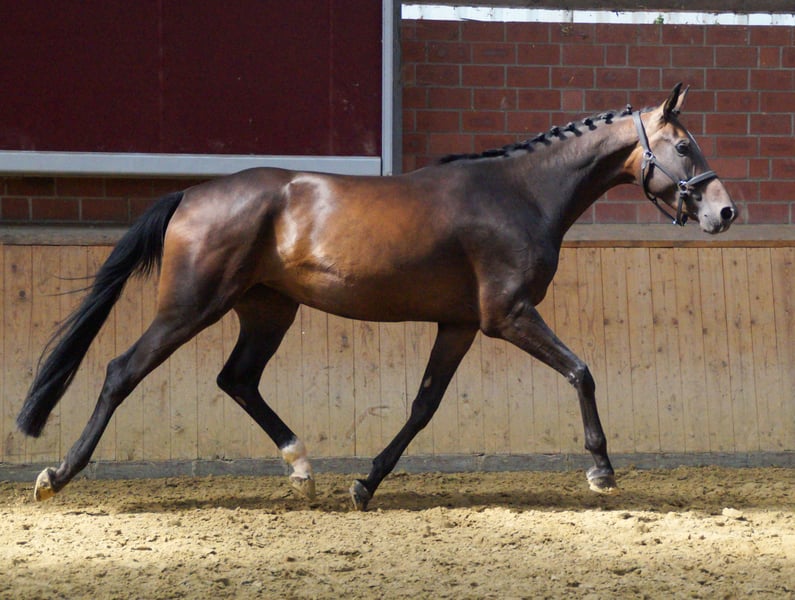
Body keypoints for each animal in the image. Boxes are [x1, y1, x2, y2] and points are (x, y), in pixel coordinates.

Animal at [17, 84, 736, 510]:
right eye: (682, 145)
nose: (724, 212)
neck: (521, 195)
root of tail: (191, 193)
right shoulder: (508, 316)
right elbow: (581, 371)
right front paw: (601, 469)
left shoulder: (459, 325)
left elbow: (422, 407)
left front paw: (365, 482)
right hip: (191, 306)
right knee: (122, 370)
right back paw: (58, 475)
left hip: (267, 309)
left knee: (238, 380)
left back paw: (302, 466)